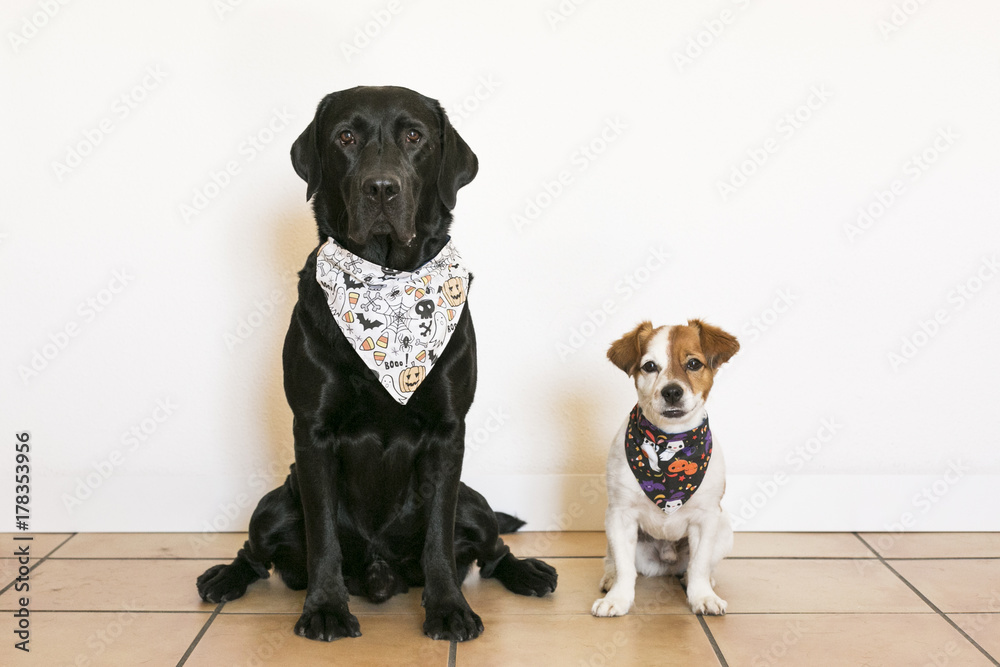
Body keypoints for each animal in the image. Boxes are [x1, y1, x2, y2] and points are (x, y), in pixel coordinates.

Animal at [588, 320, 740, 620]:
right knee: (614, 560)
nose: (671, 391)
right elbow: (624, 567)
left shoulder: (706, 519)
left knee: (698, 566)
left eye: (693, 363)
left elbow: (700, 564)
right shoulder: (620, 516)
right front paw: (618, 598)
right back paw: (610, 578)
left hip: (724, 528)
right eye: (649, 366)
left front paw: (702, 596)